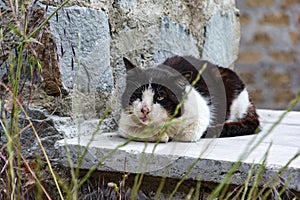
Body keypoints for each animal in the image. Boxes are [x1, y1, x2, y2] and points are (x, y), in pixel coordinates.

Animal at [118, 55, 258, 142]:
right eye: (137, 94)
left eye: (160, 96)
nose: (145, 110)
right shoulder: (124, 122)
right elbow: (133, 130)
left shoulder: (200, 114)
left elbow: (187, 134)